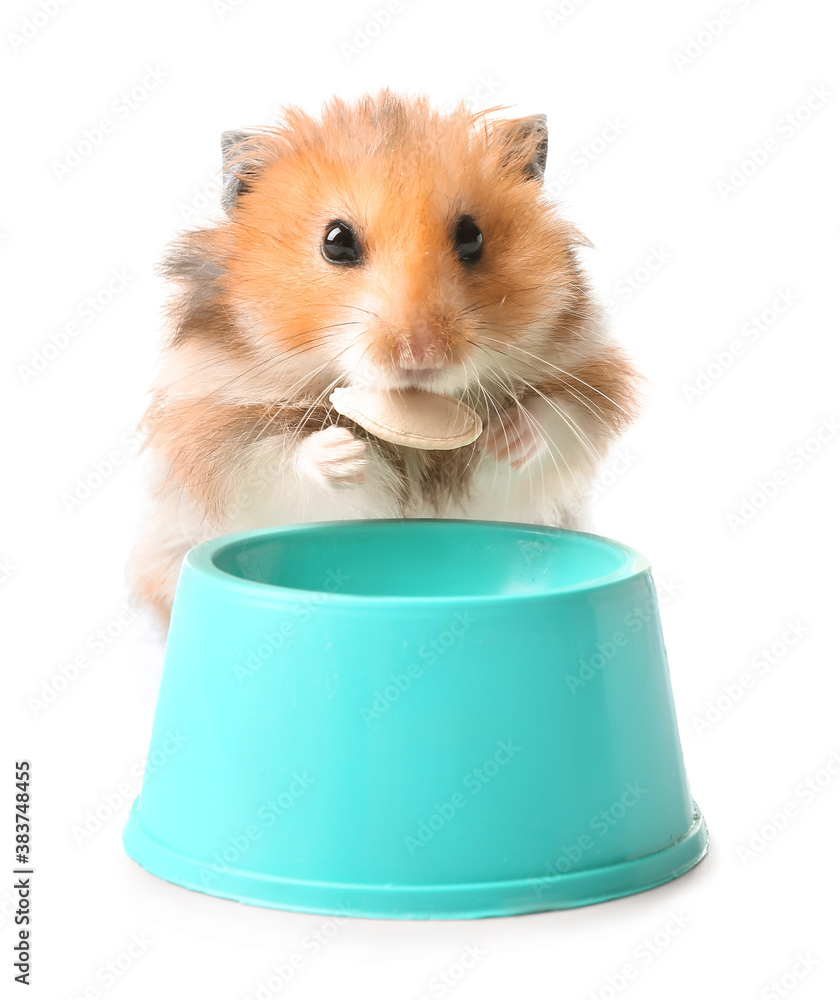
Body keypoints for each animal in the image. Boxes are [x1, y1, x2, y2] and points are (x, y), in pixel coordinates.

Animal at [128, 92, 640, 624]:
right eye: (336, 241)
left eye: (472, 237)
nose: (420, 353)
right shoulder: (217, 430)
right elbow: (282, 460)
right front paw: (347, 453)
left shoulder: (583, 381)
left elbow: (552, 419)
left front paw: (507, 435)